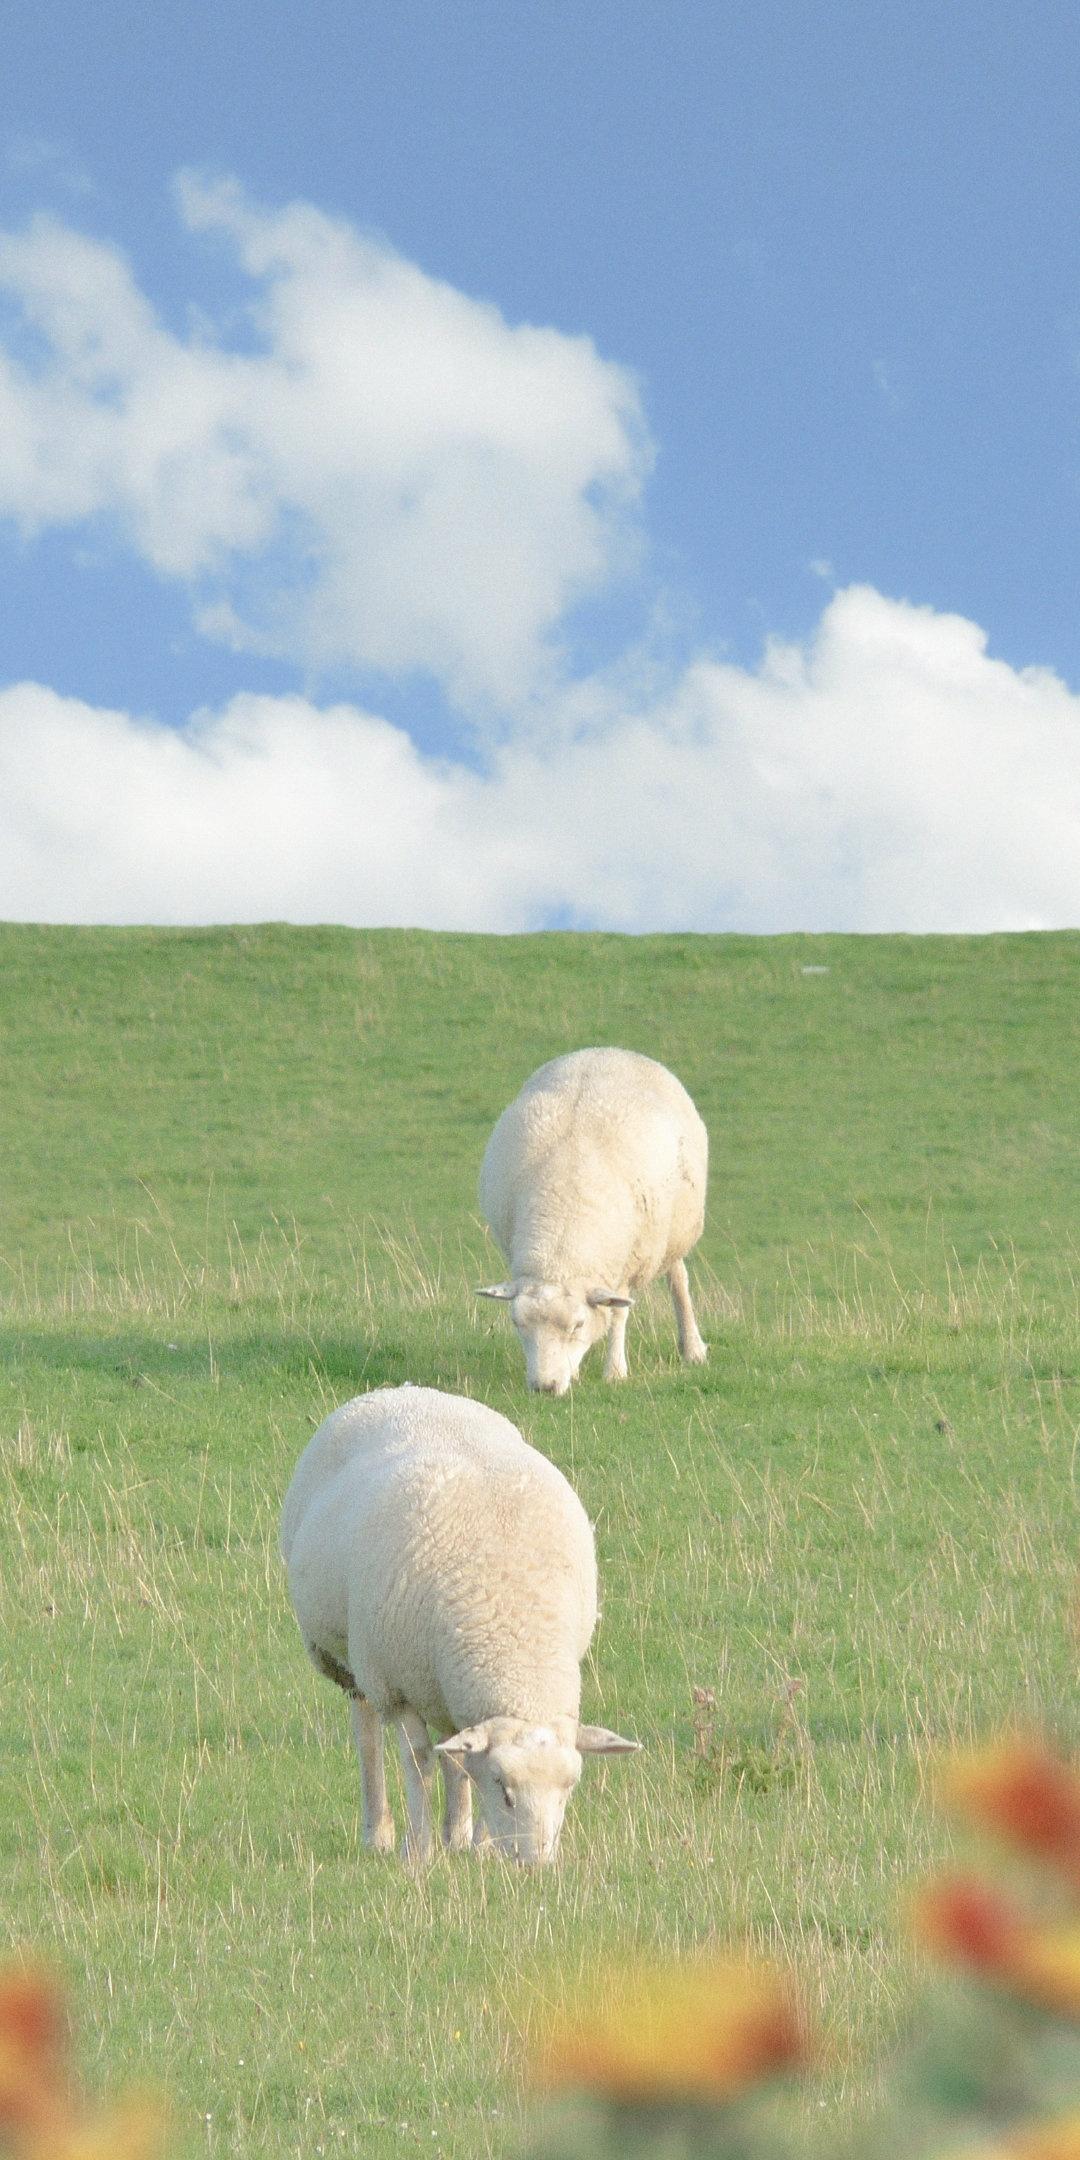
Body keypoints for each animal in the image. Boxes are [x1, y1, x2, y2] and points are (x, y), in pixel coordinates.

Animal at [280, 1391, 639, 1866]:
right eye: (504, 1789)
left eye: (568, 1789)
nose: (536, 1866)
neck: (514, 1636)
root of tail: (401, 1391)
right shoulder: (395, 1688)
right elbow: (418, 1762)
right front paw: (418, 1851)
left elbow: (462, 1763)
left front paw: (477, 1846)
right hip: (353, 1662)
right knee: (368, 1735)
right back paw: (378, 1832)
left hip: (440, 1684)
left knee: (453, 1749)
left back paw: (457, 1832)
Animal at [477, 1049, 704, 1391]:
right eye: (517, 1324)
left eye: (578, 1325)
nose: (544, 1388)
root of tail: (610, 1050)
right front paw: (575, 1373)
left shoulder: (625, 1266)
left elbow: (618, 1316)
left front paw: (615, 1372)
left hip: (672, 1232)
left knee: (678, 1279)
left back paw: (692, 1348)